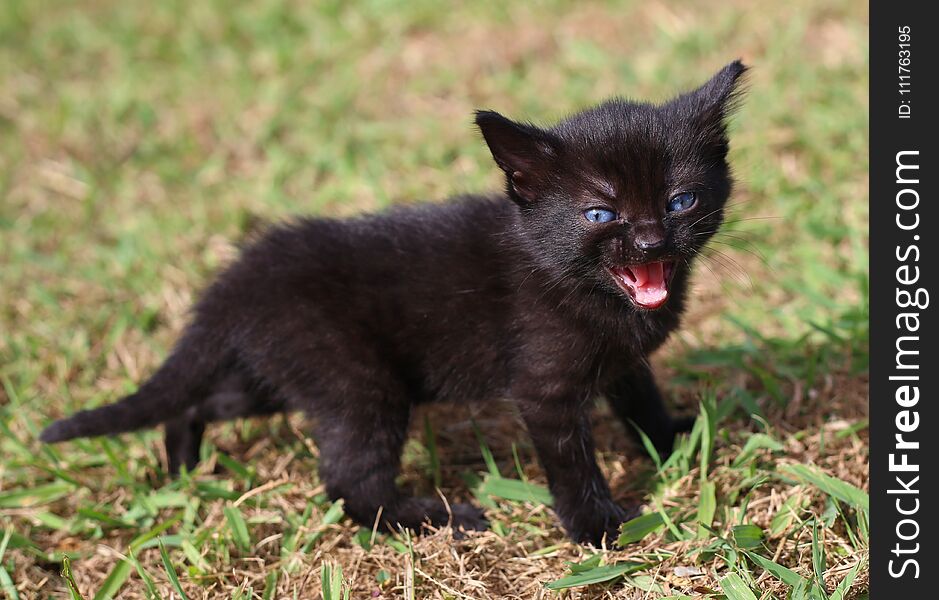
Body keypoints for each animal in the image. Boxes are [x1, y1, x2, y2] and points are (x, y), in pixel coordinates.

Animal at [42, 59, 748, 544]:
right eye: (600, 213)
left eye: (679, 200)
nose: (651, 239)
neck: (577, 280)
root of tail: (242, 274)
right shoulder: (544, 388)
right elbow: (572, 461)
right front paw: (598, 528)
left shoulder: (624, 360)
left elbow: (640, 398)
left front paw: (675, 440)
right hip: (357, 382)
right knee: (349, 482)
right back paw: (437, 517)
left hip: (281, 374)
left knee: (203, 400)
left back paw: (183, 465)